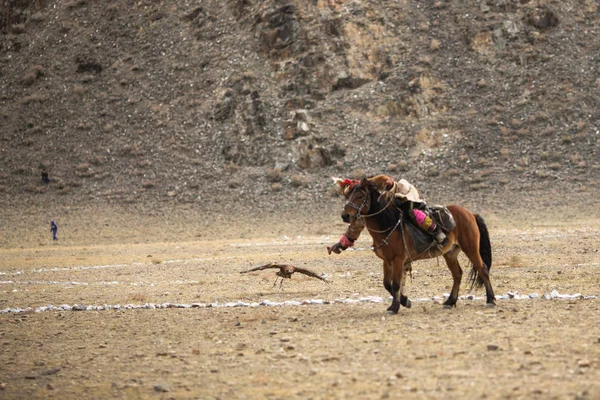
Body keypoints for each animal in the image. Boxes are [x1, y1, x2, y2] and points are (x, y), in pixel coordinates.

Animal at [340, 177, 494, 312]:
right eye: (347, 196)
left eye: (360, 196)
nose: (345, 216)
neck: (389, 226)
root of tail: (471, 214)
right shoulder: (387, 261)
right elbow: (387, 284)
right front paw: (405, 301)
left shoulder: (398, 259)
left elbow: (396, 284)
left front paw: (394, 307)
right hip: (450, 253)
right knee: (457, 274)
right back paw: (450, 302)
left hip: (470, 248)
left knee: (483, 269)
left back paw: (491, 300)